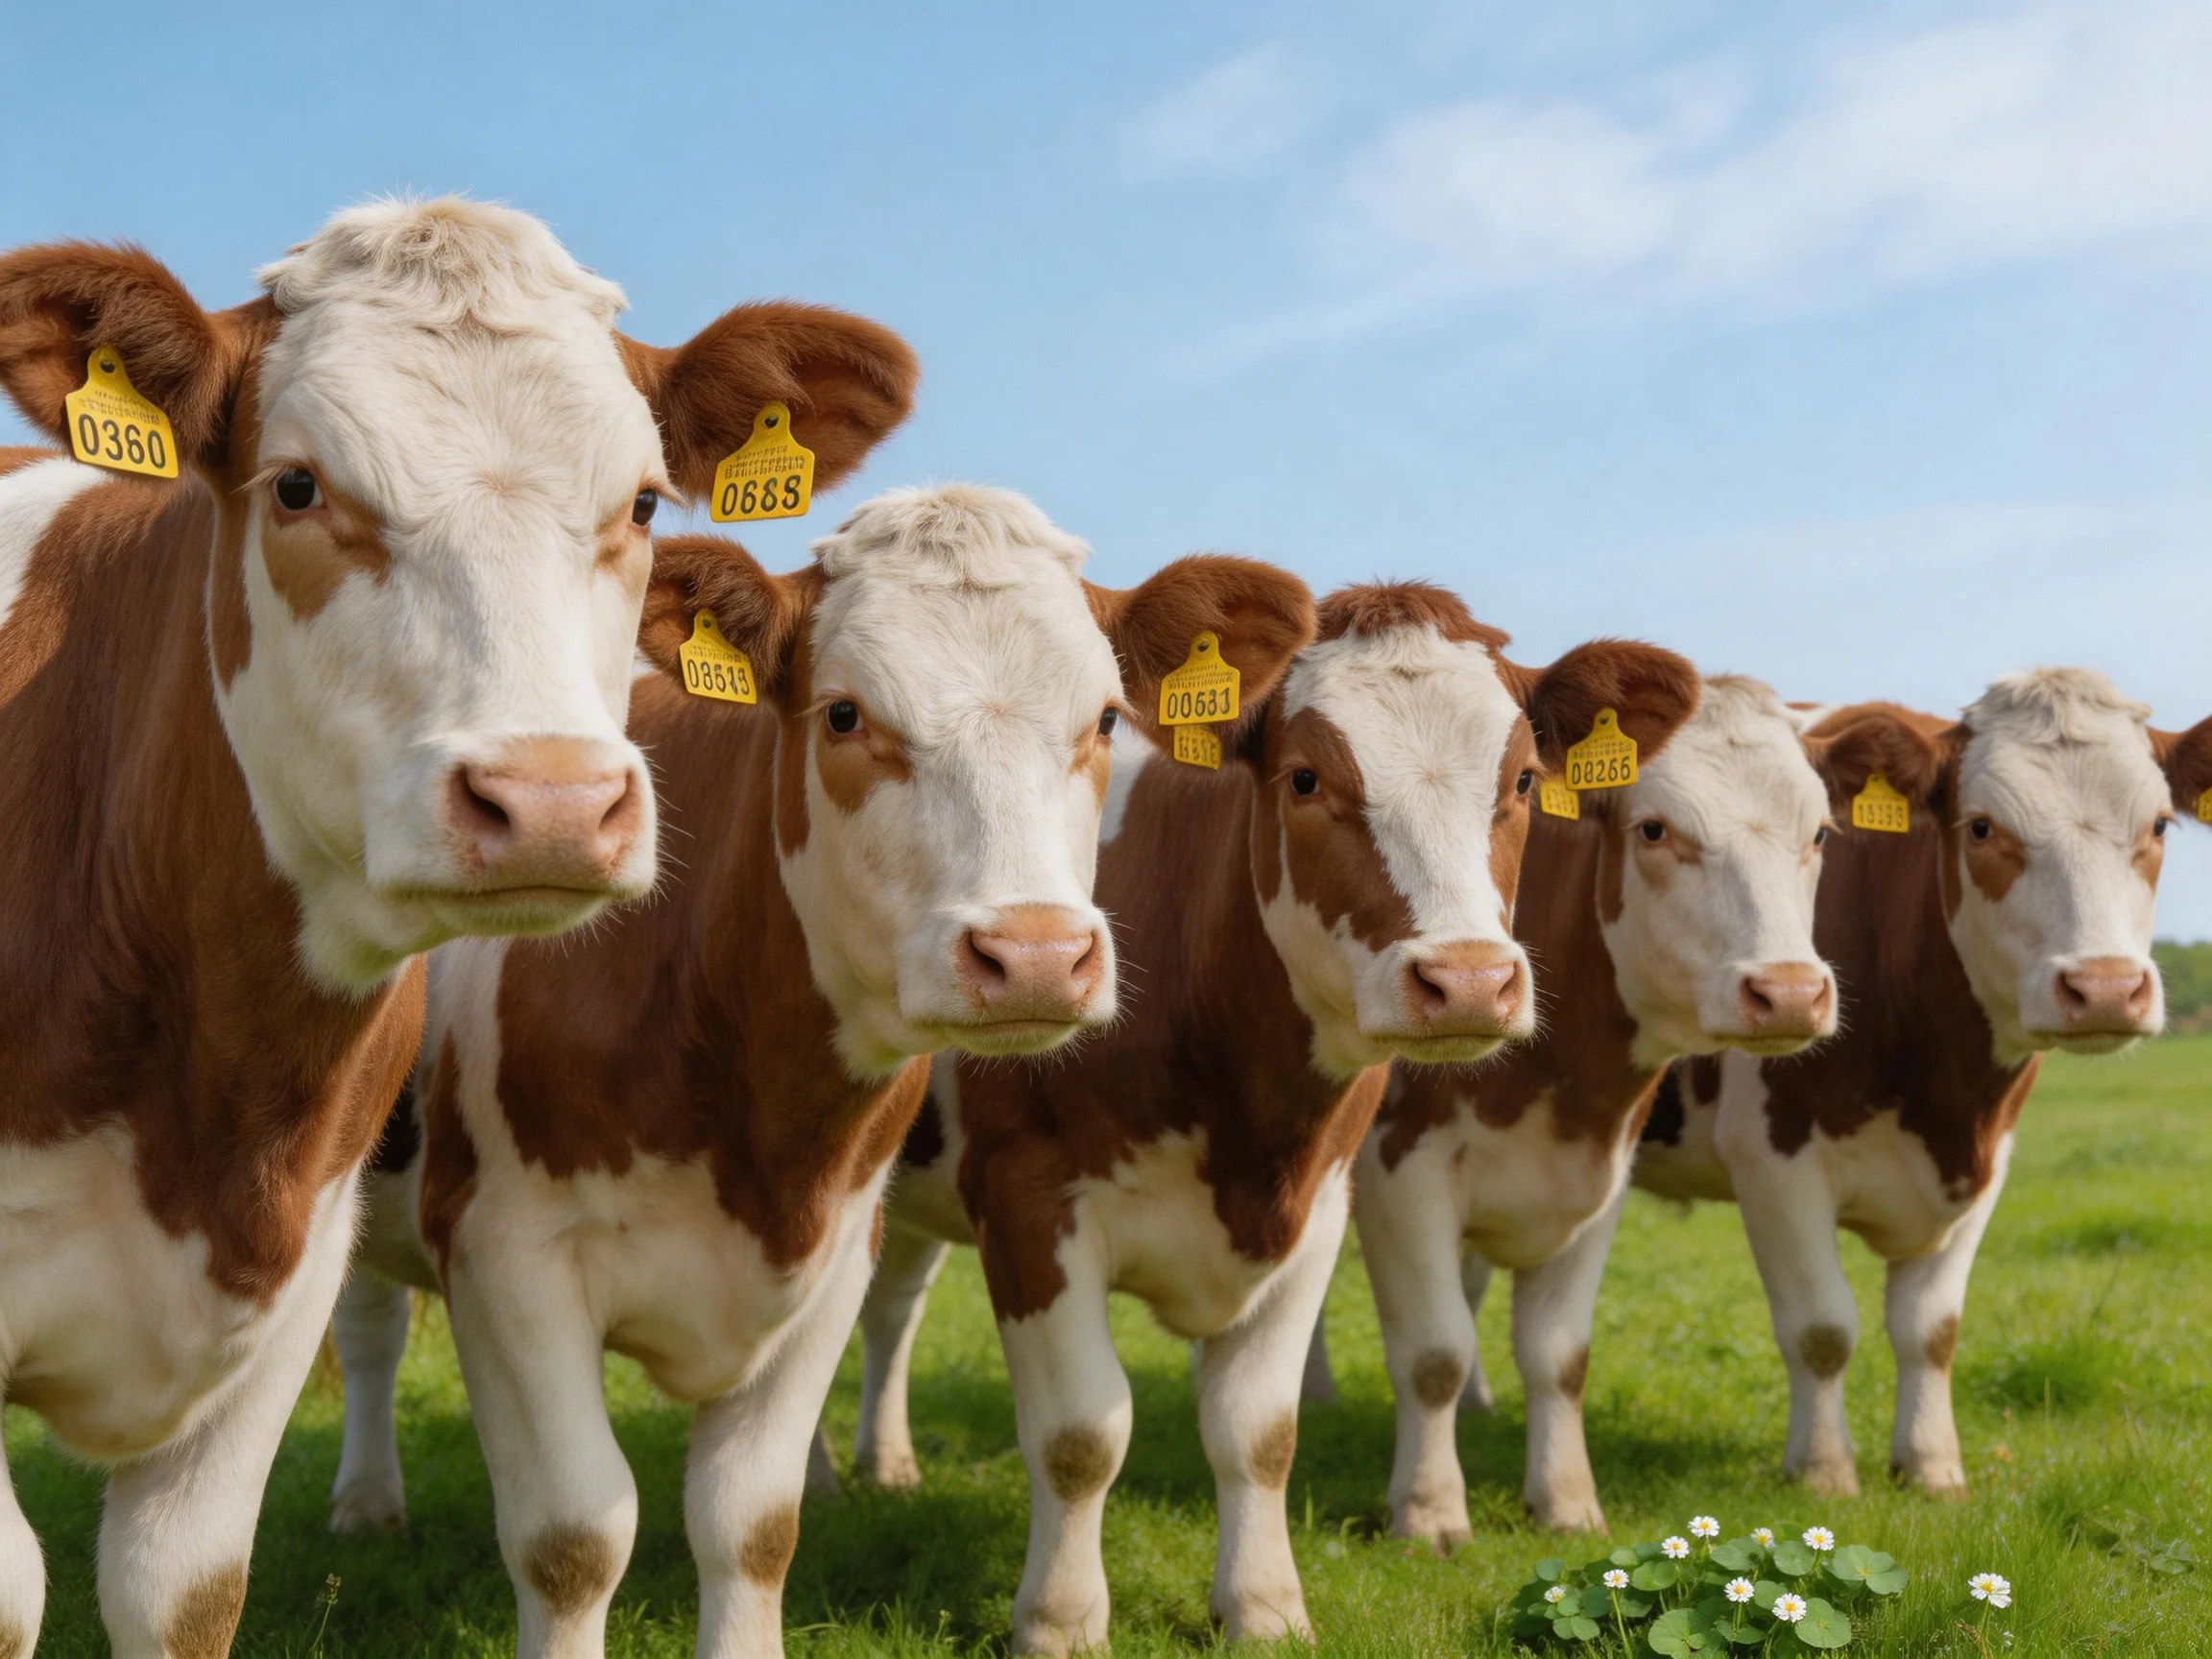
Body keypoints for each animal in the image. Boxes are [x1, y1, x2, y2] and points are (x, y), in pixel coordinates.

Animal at [326, 485, 1317, 1659]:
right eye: (844, 715)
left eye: (1108, 720)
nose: (1034, 954)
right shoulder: (504, 1257)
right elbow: (573, 1538)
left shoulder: (838, 1249)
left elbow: (752, 1523)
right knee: (368, 1331)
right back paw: (366, 1503)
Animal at [849, 584, 1702, 1655]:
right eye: (1304, 778)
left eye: (1519, 780)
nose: (1468, 980)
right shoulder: (1028, 1199)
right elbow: (1081, 1434)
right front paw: (1062, 1620)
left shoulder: (1320, 1206)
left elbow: (1260, 1431)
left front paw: (1262, 1605)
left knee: (890, 1311)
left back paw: (882, 1466)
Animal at [1308, 674, 1844, 1543]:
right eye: (1655, 829)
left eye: (1821, 833)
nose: (1790, 992)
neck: (1555, 1076)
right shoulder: (1400, 1173)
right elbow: (1432, 1353)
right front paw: (1428, 1512)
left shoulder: (1600, 1179)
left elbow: (1559, 1356)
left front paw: (1566, 1504)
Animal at [1634, 672, 2212, 1497]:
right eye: (1982, 827)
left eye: (2159, 824)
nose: (2104, 988)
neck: (1941, 1090)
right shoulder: (1772, 1159)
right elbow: (1821, 1327)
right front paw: (1823, 1472)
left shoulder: (1988, 1160)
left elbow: (1932, 1329)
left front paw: (1933, 1468)